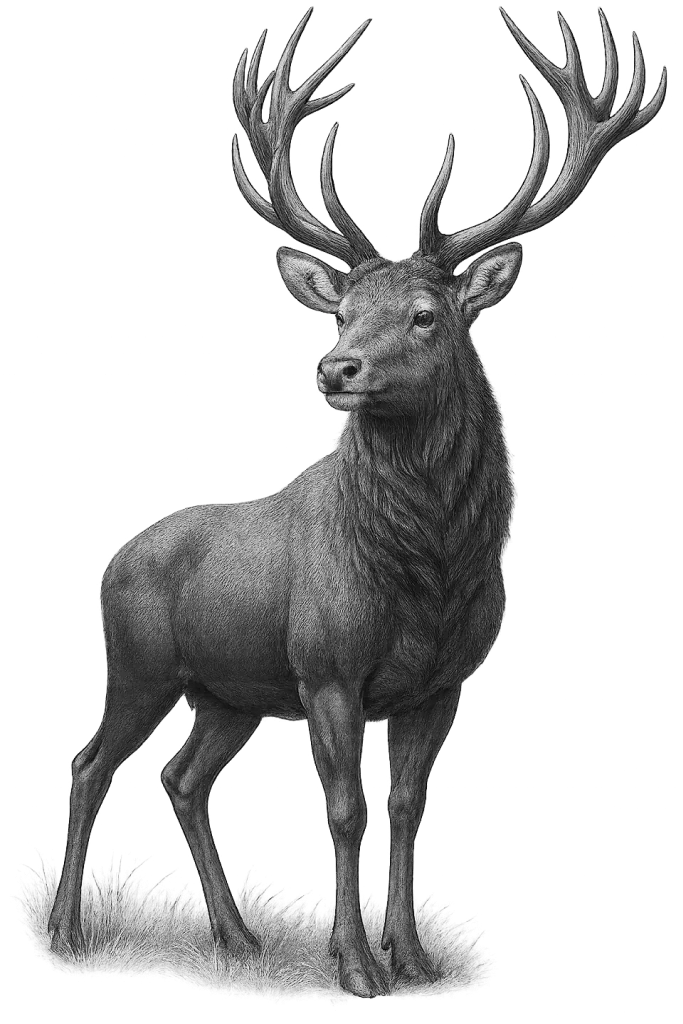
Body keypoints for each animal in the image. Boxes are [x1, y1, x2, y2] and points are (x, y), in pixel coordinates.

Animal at [48, 6, 666, 1000]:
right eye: (339, 315)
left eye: (426, 314)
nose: (335, 368)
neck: (429, 576)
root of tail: (116, 557)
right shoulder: (328, 669)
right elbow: (342, 809)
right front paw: (355, 966)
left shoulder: (443, 683)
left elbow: (408, 806)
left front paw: (412, 958)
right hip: (140, 665)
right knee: (87, 766)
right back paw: (69, 932)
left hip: (229, 693)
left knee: (182, 778)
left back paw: (240, 939)